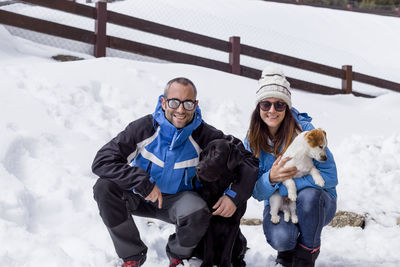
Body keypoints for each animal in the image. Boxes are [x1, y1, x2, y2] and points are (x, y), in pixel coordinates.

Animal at [193, 138, 247, 267]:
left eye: (216, 153)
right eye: (203, 154)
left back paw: (240, 263)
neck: (220, 190)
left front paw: (225, 265)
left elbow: (228, 249)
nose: (197, 168)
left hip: (241, 239)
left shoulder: (235, 223)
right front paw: (206, 264)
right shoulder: (208, 221)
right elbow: (209, 247)